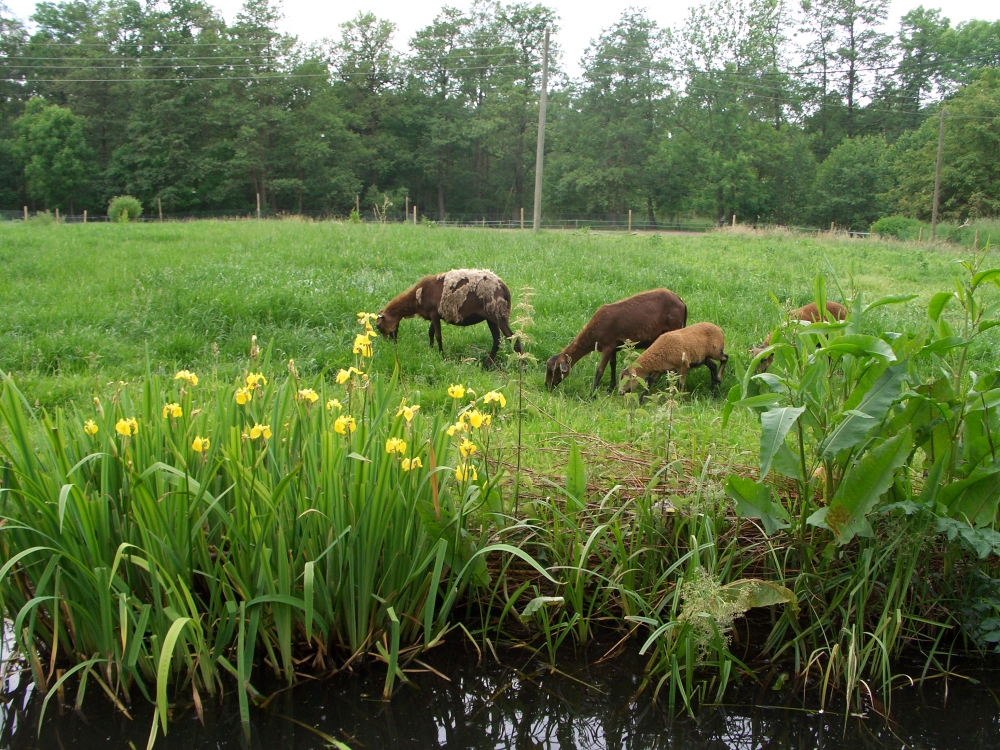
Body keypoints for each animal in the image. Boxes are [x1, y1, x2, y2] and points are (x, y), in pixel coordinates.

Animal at [376, 268, 524, 368]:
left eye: (379, 326)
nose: (390, 343)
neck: (415, 299)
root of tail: (504, 287)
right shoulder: (435, 315)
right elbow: (430, 333)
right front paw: (431, 350)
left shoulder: (434, 314)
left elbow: (438, 335)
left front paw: (441, 355)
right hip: (491, 318)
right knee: (497, 340)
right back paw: (486, 365)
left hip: (497, 315)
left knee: (514, 339)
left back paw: (523, 365)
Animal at [548, 290, 688, 400]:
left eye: (555, 370)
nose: (547, 386)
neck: (593, 335)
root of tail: (682, 302)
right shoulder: (613, 347)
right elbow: (612, 364)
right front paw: (611, 388)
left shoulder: (607, 346)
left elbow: (600, 371)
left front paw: (592, 395)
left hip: (674, 327)